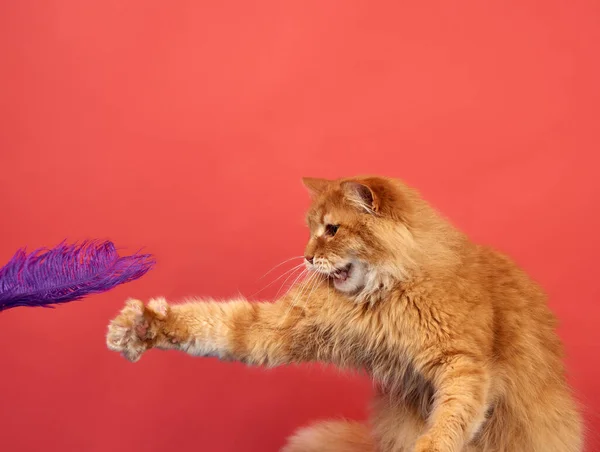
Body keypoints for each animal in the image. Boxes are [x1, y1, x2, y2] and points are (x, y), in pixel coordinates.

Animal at [106, 175, 580, 450]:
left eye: (331, 229)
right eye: (310, 229)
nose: (305, 256)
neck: (383, 297)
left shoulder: (462, 363)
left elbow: (452, 416)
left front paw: (429, 446)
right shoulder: (276, 328)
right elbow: (214, 324)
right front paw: (143, 327)